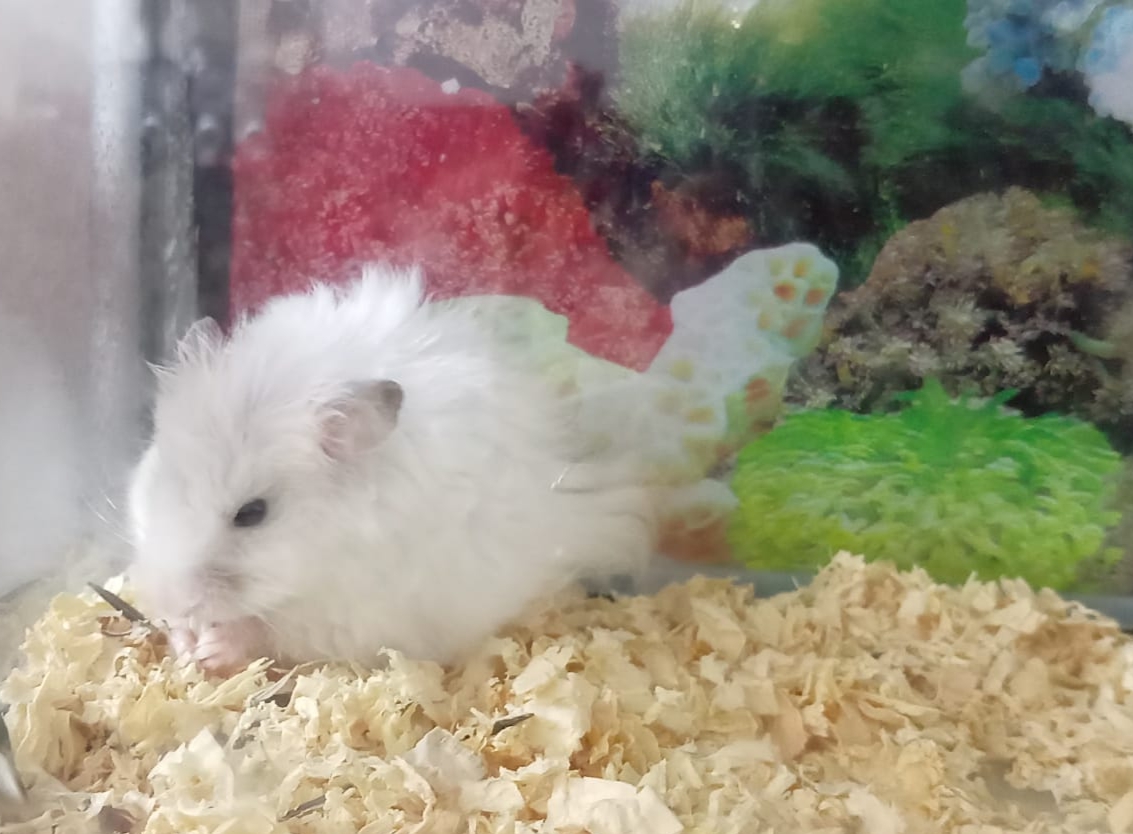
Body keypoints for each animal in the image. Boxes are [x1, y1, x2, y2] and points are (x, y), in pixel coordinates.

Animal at [126, 264, 657, 673]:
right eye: (162, 481)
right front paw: (183, 641)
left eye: (253, 513)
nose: (168, 600)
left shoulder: (351, 616)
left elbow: (266, 631)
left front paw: (212, 649)